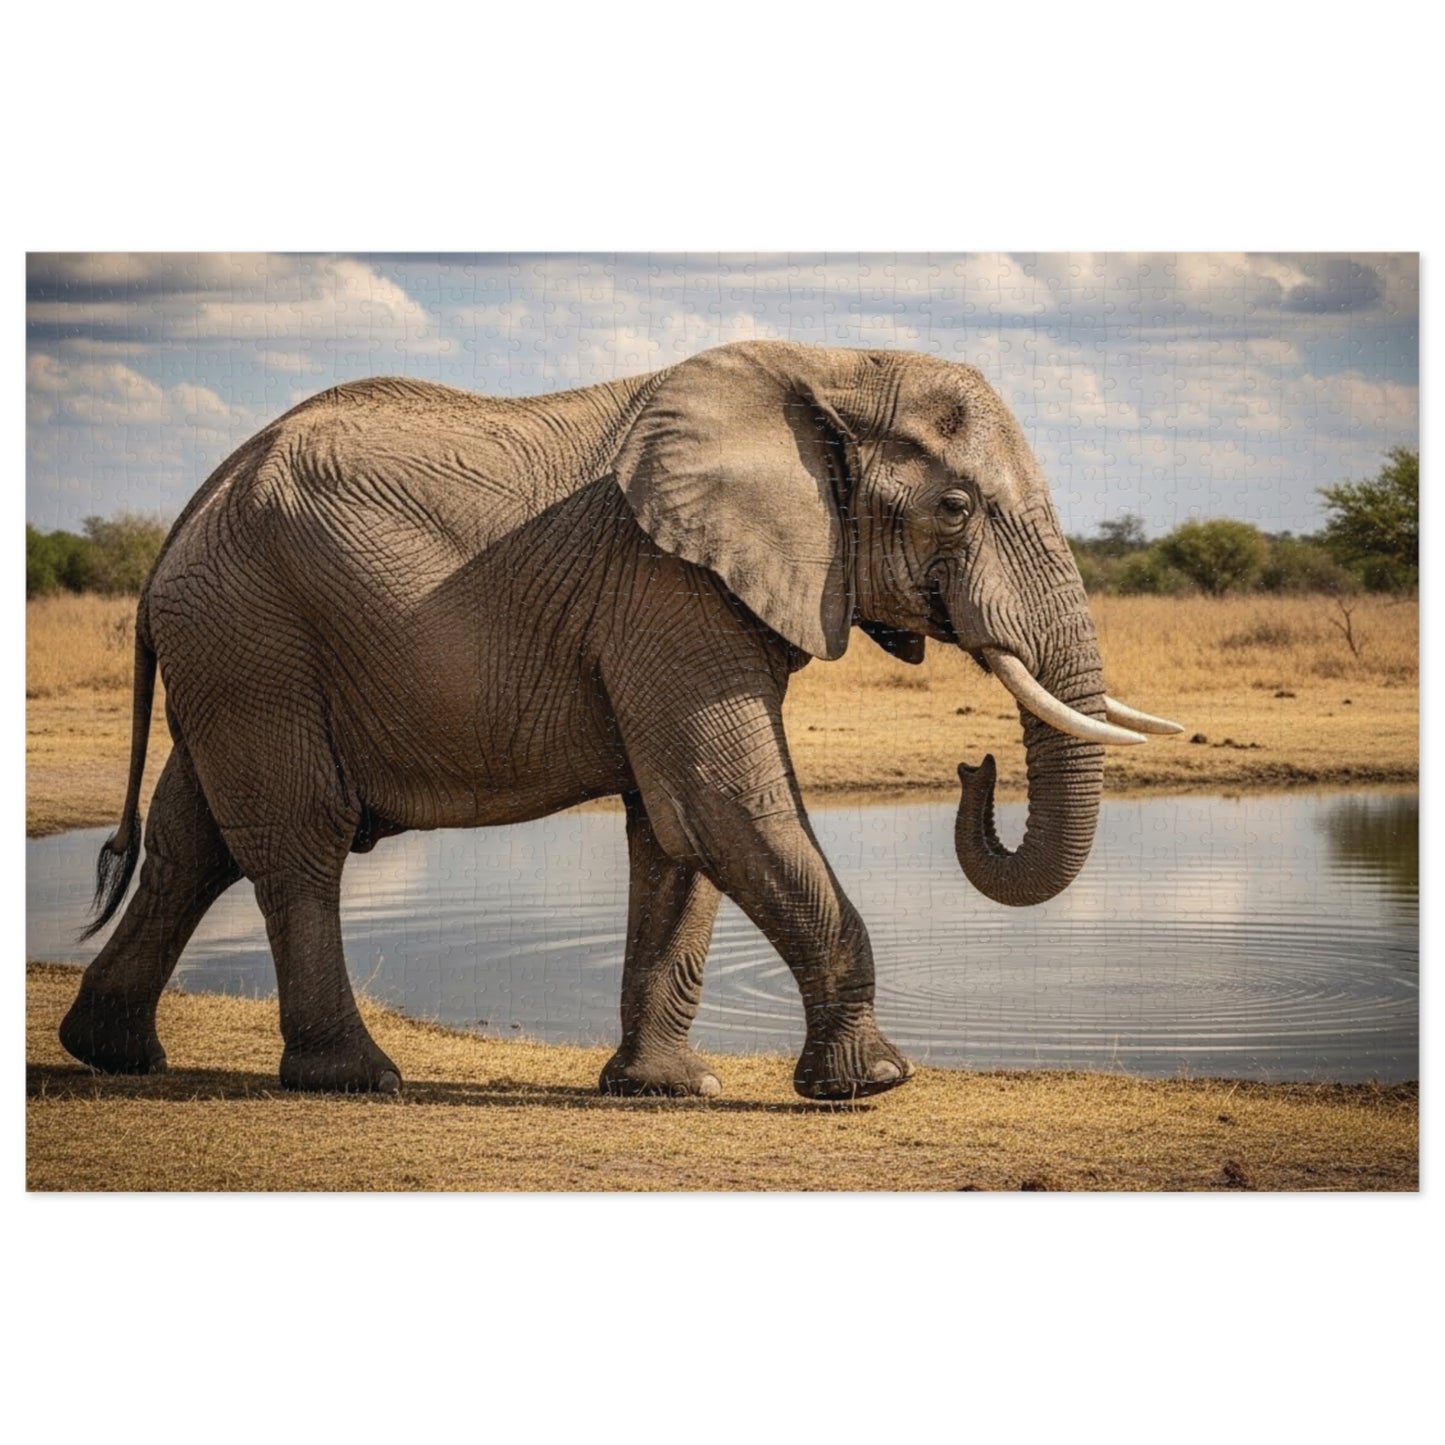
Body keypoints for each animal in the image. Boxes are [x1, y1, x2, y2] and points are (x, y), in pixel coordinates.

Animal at [59, 340, 1180, 1100]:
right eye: (954, 507)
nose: (971, 765)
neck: (831, 369)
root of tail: (183, 519)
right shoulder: (666, 587)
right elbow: (725, 803)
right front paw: (874, 1082)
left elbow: (675, 829)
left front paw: (668, 1088)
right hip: (253, 631)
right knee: (297, 837)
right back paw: (356, 1076)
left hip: (233, 644)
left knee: (191, 839)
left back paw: (109, 1054)